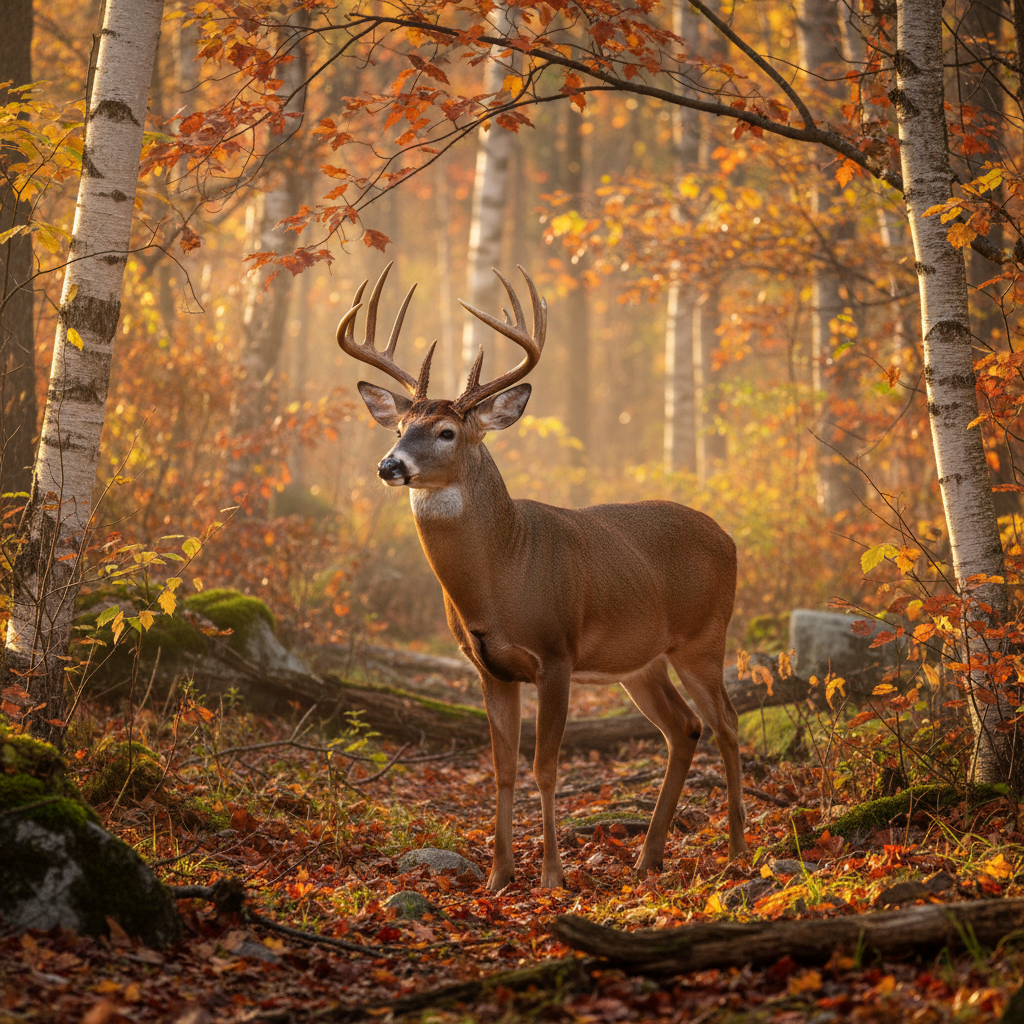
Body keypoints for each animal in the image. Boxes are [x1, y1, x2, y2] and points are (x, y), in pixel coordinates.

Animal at [336, 262, 747, 890]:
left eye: (447, 432)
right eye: (400, 425)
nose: (389, 465)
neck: (502, 577)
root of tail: (728, 538)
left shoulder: (556, 653)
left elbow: (545, 766)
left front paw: (552, 874)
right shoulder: (489, 667)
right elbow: (503, 768)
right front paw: (499, 874)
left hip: (703, 638)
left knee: (726, 723)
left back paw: (736, 851)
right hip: (641, 662)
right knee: (684, 727)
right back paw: (648, 856)